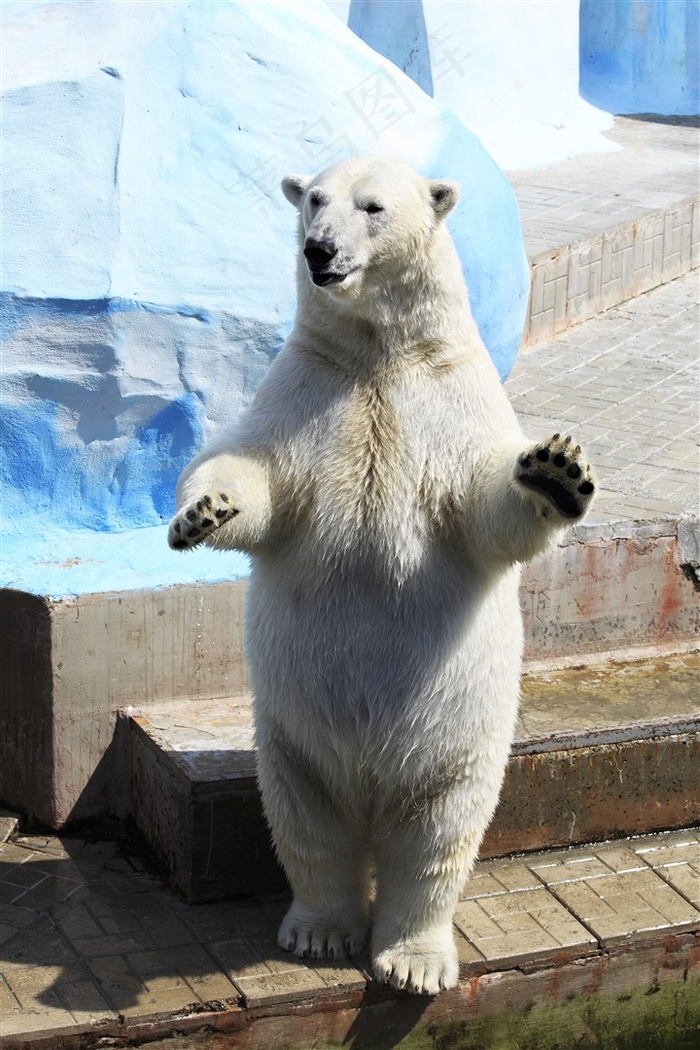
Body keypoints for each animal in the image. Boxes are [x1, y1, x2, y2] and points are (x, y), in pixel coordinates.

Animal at [170, 153, 596, 991]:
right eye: (313, 203)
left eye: (372, 207)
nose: (319, 251)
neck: (380, 353)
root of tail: (371, 788)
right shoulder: (308, 389)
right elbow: (255, 476)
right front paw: (203, 510)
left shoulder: (450, 398)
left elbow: (487, 512)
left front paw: (556, 471)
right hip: (289, 733)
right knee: (307, 822)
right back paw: (319, 929)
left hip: (457, 741)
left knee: (437, 838)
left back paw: (413, 959)